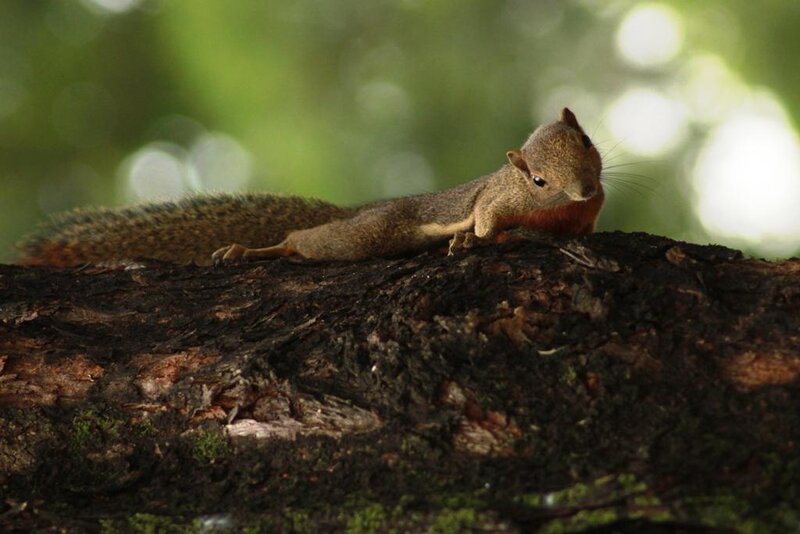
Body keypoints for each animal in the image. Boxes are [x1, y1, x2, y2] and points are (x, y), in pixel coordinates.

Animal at [18, 108, 603, 267]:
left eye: (588, 141)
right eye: (538, 179)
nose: (584, 189)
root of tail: (357, 210)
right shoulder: (497, 199)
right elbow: (484, 220)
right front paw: (470, 239)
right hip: (365, 235)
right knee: (305, 241)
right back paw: (254, 249)